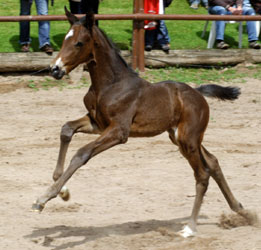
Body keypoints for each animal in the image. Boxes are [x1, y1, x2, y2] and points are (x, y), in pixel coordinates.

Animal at [32, 8, 246, 237]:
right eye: (65, 39)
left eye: (79, 43)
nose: (55, 69)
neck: (110, 84)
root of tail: (198, 93)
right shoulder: (97, 123)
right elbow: (66, 129)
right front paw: (62, 190)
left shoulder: (119, 132)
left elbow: (82, 153)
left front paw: (44, 198)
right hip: (182, 137)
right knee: (213, 162)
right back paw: (242, 210)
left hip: (188, 140)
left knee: (202, 174)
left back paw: (190, 227)